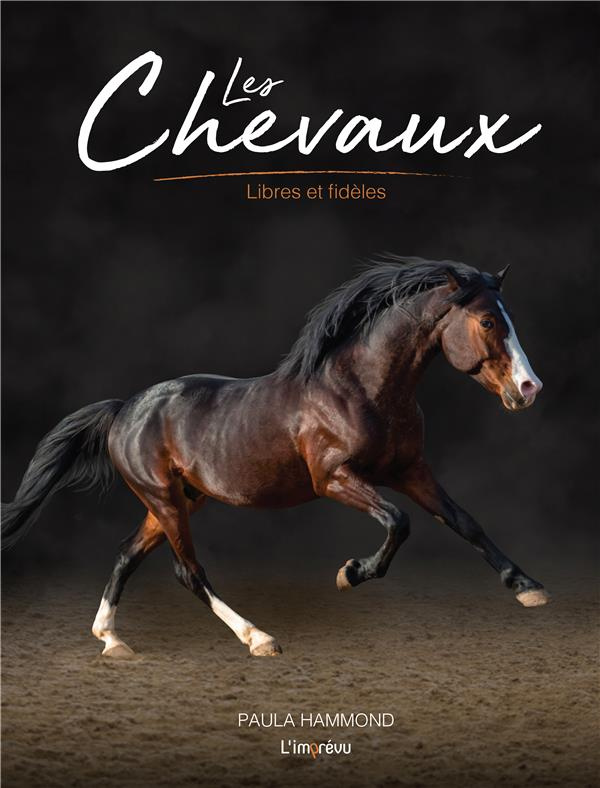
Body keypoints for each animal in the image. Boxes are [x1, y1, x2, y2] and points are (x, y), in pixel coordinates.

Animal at [1, 256, 549, 658]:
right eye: (487, 320)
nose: (529, 388)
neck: (361, 389)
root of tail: (123, 409)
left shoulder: (410, 470)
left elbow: (464, 522)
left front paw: (528, 587)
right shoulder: (334, 478)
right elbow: (399, 521)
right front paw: (351, 573)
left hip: (179, 500)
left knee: (125, 554)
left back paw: (112, 640)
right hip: (165, 500)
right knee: (188, 572)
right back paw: (257, 638)